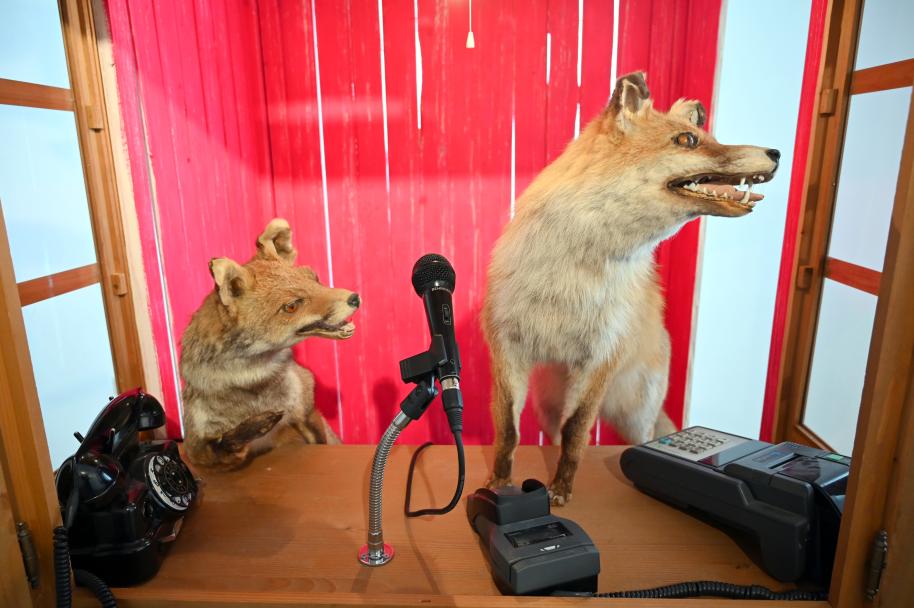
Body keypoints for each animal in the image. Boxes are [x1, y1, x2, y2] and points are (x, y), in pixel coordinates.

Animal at [180, 218, 360, 467]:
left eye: (315, 279)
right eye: (292, 306)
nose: (355, 298)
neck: (253, 387)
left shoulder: (307, 412)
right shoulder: (196, 450)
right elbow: (223, 443)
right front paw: (255, 426)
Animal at [482, 72, 780, 505]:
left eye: (710, 136)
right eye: (687, 140)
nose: (776, 152)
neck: (573, 275)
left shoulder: (600, 358)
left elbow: (577, 433)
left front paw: (561, 490)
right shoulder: (508, 347)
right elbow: (508, 430)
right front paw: (498, 484)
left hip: (635, 412)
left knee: (635, 436)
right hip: (548, 404)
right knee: (552, 433)